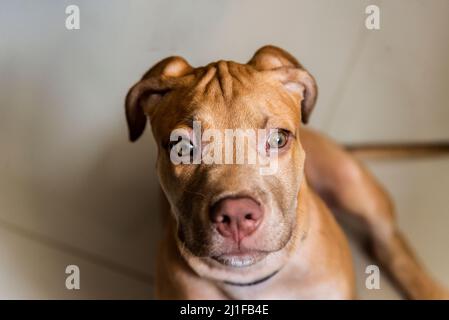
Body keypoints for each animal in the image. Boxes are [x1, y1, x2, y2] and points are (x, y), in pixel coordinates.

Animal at [124, 45, 446, 300]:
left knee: (389, 244)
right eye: (182, 147)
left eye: (279, 139)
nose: (236, 215)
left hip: (352, 184)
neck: (254, 281)